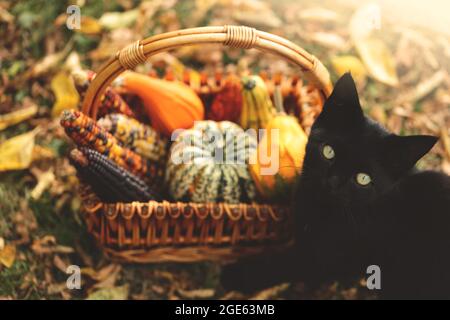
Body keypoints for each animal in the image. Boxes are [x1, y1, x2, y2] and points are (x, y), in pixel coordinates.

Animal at [222, 73, 450, 300]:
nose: (332, 181)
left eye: (363, 178)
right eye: (328, 151)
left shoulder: (327, 259)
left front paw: (238, 274)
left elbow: (285, 263)